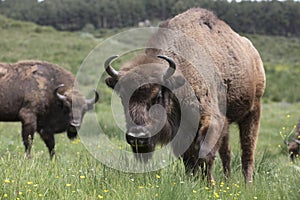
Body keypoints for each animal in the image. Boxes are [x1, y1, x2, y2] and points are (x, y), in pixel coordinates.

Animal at [104, 8, 266, 184]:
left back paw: (247, 184)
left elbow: (204, 154)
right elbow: (189, 159)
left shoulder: (212, 120)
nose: (137, 137)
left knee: (247, 151)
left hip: (253, 111)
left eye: (158, 95)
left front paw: (209, 184)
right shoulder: (183, 131)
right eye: (122, 97)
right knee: (227, 153)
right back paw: (227, 181)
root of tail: (253, 53)